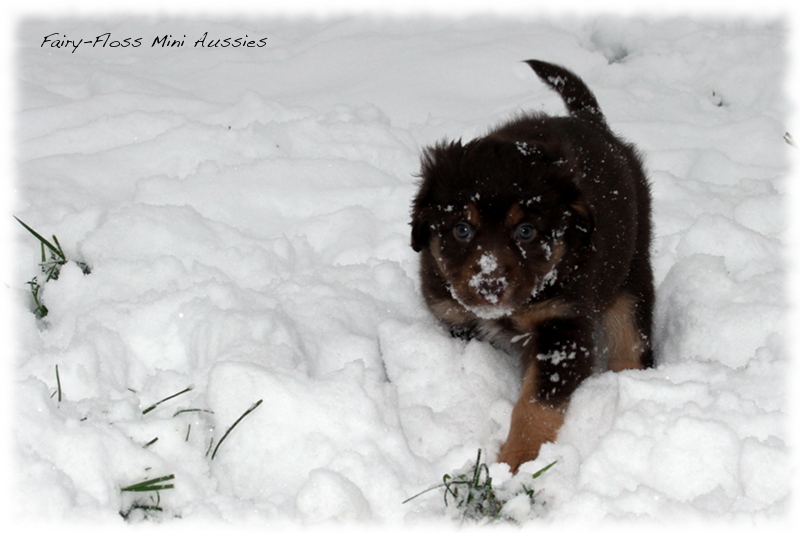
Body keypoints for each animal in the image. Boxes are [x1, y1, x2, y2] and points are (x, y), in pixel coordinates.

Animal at [410, 60, 652, 472]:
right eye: (461, 229)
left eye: (525, 231)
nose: (489, 285)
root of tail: (593, 122)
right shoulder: (453, 317)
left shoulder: (563, 329)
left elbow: (534, 407)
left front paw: (516, 463)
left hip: (631, 272)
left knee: (631, 342)